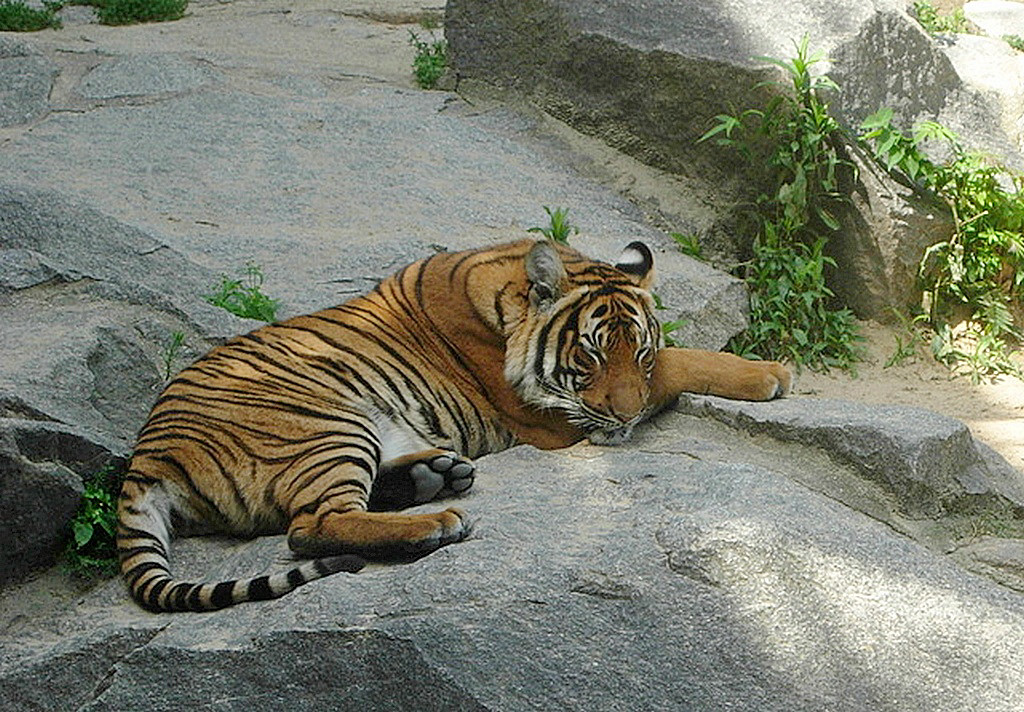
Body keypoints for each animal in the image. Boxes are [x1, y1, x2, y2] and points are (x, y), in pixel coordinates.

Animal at [117, 239, 790, 614]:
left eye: (637, 352)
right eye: (593, 355)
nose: (623, 419)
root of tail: (145, 455)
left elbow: (674, 358)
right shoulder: (545, 417)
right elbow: (683, 361)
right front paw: (770, 374)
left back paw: (436, 476)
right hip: (325, 423)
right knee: (310, 527)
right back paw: (437, 520)